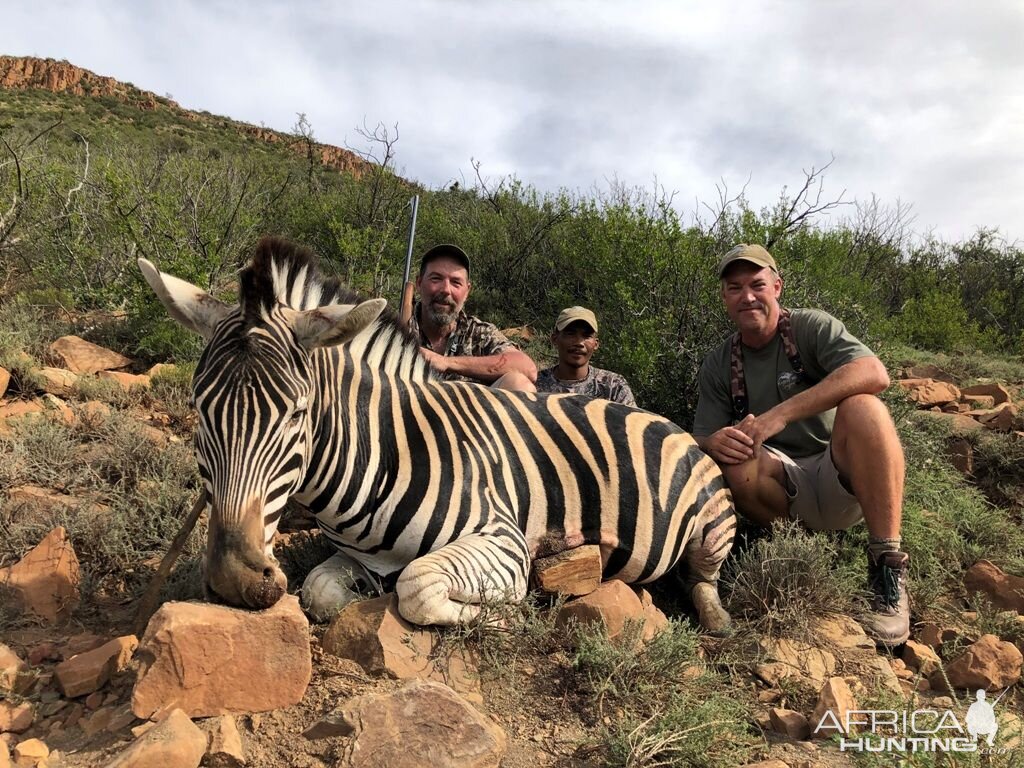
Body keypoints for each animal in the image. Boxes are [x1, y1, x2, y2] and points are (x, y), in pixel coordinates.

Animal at [138, 239, 737, 630]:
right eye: (199, 409)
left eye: (297, 414)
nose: (234, 583)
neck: (381, 454)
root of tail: (665, 419)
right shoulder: (353, 557)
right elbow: (321, 591)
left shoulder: (502, 540)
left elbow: (418, 588)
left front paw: (505, 612)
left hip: (712, 527)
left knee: (703, 577)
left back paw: (716, 618)